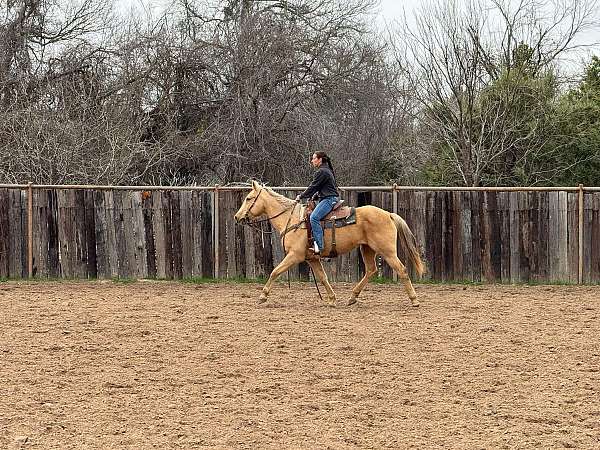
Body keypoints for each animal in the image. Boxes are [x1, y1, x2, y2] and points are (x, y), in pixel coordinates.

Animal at [232, 181, 424, 308]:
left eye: (249, 198)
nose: (237, 216)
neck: (292, 219)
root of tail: (388, 214)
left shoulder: (294, 255)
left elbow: (275, 271)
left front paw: (262, 296)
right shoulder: (312, 259)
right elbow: (323, 277)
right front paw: (332, 299)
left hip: (387, 251)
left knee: (401, 270)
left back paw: (414, 300)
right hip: (367, 249)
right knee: (371, 270)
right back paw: (352, 297)